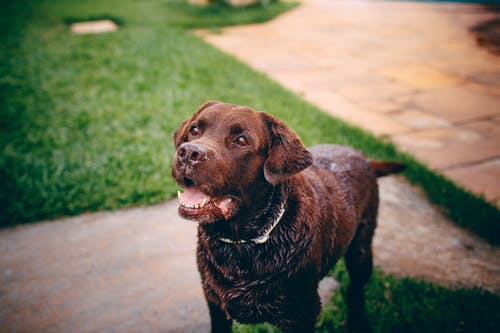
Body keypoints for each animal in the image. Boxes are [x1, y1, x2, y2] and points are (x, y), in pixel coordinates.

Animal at [172, 101, 406, 332]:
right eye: (195, 129)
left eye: (241, 140)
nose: (188, 153)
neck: (241, 245)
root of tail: (363, 156)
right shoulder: (215, 304)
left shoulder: (301, 314)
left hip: (361, 250)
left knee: (355, 291)